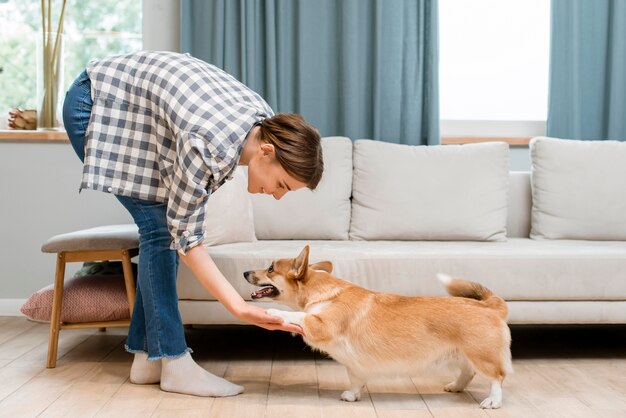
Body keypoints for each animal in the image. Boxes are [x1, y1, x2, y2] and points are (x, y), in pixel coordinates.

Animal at [241, 245, 510, 408]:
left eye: (270, 268)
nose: (244, 272)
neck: (323, 292)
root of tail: (490, 305)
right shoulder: (354, 365)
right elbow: (355, 380)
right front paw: (352, 395)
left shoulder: (321, 324)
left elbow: (298, 315)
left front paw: (274, 312)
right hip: (464, 355)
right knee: (468, 372)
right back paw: (455, 386)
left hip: (481, 355)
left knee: (497, 378)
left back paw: (493, 402)